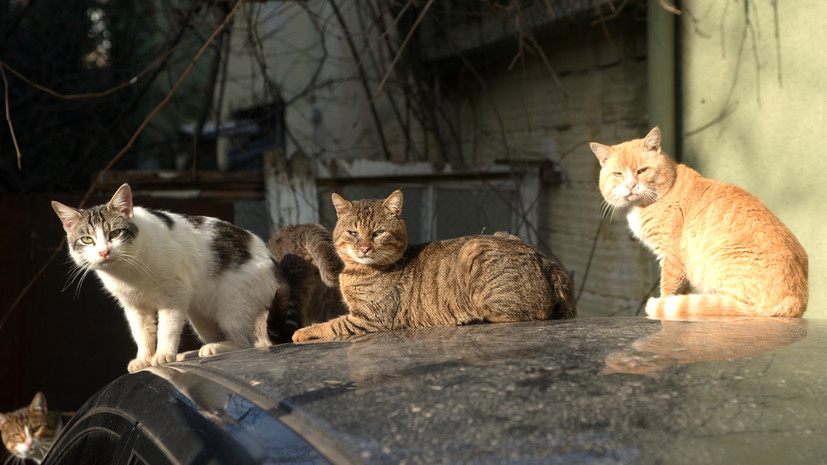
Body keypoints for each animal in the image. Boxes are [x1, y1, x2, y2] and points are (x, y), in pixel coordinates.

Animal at [51, 183, 292, 372]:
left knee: (247, 343)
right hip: (201, 317)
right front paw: (144, 359)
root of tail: (276, 269)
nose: (103, 252)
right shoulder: (134, 306)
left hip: (232, 305)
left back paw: (214, 348)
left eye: (115, 233)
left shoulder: (174, 295)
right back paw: (191, 353)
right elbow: (142, 333)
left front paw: (162, 355)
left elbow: (167, 327)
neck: (128, 271)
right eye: (87, 239)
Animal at [292, 189, 576, 340]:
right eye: (353, 233)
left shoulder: (370, 318)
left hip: (475, 252)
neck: (357, 272)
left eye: (378, 232)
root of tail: (548, 263)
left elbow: (330, 325)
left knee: (526, 314)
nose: (364, 248)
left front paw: (302, 332)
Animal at [592, 126, 812, 320]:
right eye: (618, 174)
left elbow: (668, 289)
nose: (630, 185)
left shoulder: (671, 257)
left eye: (642, 170)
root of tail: (797, 301)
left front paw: (665, 305)